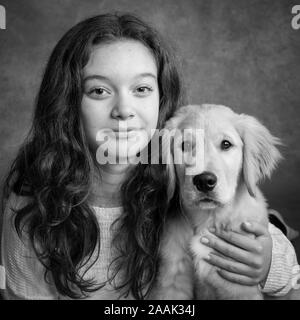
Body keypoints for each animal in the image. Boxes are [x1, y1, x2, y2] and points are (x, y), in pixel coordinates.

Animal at [152, 104, 282, 298]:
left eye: (226, 144)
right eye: (184, 145)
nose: (204, 181)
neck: (208, 219)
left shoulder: (238, 286)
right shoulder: (172, 279)